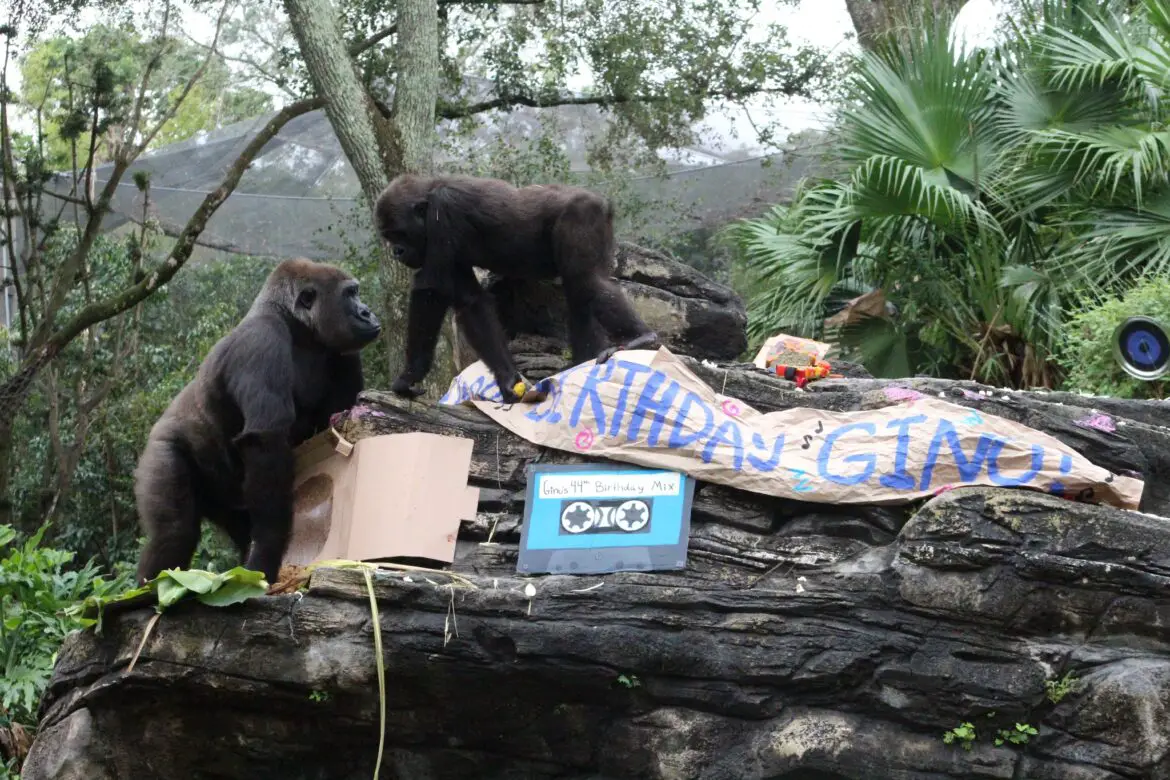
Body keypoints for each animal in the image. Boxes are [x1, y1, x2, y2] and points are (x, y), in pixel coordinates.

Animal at [133, 257, 381, 584]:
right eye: (350, 294)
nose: (367, 312)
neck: (297, 326)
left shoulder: (342, 350)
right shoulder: (262, 341)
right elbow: (265, 441)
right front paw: (266, 554)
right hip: (162, 448)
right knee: (174, 533)